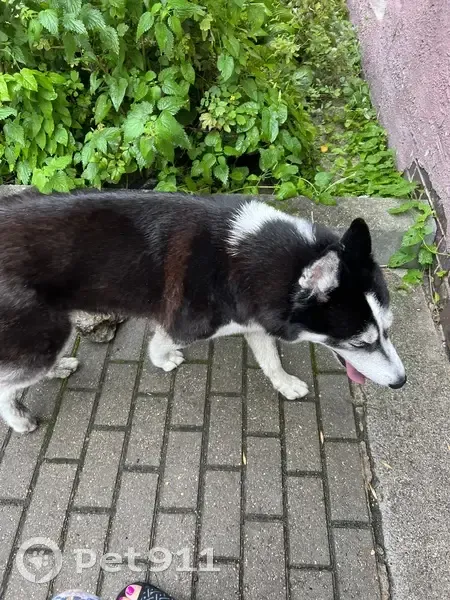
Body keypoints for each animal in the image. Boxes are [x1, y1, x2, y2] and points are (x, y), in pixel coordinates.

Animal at [0, 189, 406, 433]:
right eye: (360, 343)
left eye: (387, 330)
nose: (401, 382)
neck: (252, 260)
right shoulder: (183, 323)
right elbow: (161, 343)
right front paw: (163, 360)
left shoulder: (253, 320)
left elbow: (270, 360)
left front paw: (285, 383)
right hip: (43, 336)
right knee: (8, 382)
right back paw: (19, 419)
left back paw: (58, 369)